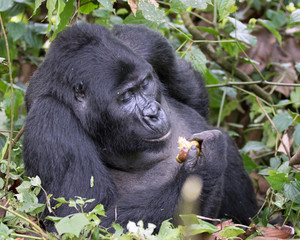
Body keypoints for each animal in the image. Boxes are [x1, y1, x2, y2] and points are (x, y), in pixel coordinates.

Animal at [23, 23, 258, 231]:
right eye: (126, 96)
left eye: (145, 84)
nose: (153, 113)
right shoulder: (51, 117)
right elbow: (83, 221)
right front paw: (202, 169)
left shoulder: (142, 41)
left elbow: (196, 99)